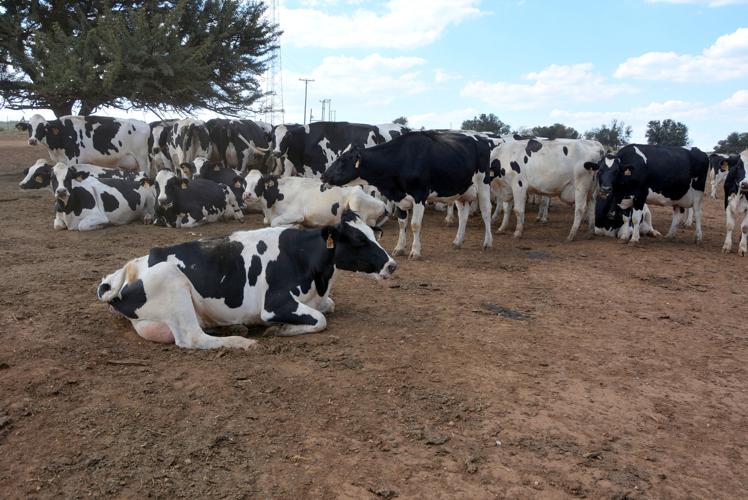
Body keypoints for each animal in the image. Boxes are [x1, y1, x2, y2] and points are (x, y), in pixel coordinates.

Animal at [16, 114, 150, 172]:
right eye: (29, 127)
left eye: (43, 127)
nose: (32, 140)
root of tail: (145, 124)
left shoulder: (73, 160)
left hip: (142, 160)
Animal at [96, 209, 398, 348]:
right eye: (359, 240)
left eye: (374, 234)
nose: (392, 265)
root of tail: (134, 265)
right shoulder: (274, 304)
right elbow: (320, 320)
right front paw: (280, 329)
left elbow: (328, 307)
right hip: (171, 280)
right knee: (193, 337)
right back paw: (241, 342)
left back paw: (235, 328)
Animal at [243, 171, 389, 228]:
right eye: (245, 182)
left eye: (259, 183)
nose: (247, 195)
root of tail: (383, 205)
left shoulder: (296, 214)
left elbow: (275, 223)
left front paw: (296, 225)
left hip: (355, 200)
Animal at [321, 131, 493, 259]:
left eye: (343, 160)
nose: (324, 176)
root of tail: (480, 138)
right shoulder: (399, 198)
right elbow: (402, 223)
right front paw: (399, 248)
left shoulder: (419, 196)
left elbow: (415, 224)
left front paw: (415, 251)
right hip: (460, 190)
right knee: (463, 215)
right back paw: (458, 241)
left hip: (483, 184)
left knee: (486, 212)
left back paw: (487, 242)